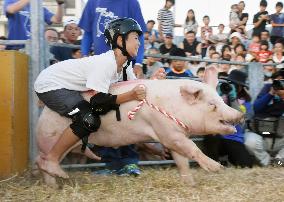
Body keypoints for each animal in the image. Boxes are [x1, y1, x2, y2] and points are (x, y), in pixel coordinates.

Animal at [35, 66, 244, 188]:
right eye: (212, 104)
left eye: (221, 99)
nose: (239, 115)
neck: (175, 107)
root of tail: (43, 111)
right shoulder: (168, 133)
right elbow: (192, 149)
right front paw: (218, 168)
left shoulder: (174, 135)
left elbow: (181, 160)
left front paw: (190, 184)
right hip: (49, 136)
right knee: (42, 159)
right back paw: (56, 181)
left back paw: (54, 183)